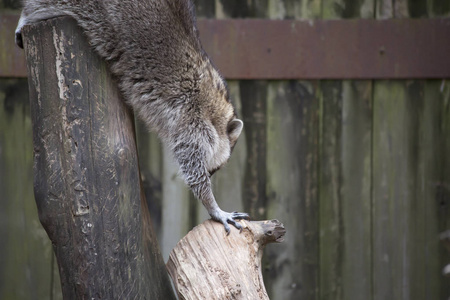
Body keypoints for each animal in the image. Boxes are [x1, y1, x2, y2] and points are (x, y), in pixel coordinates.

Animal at [16, 0, 250, 233]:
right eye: (217, 167)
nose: (212, 175)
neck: (215, 108)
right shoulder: (193, 121)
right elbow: (193, 169)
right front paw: (213, 205)